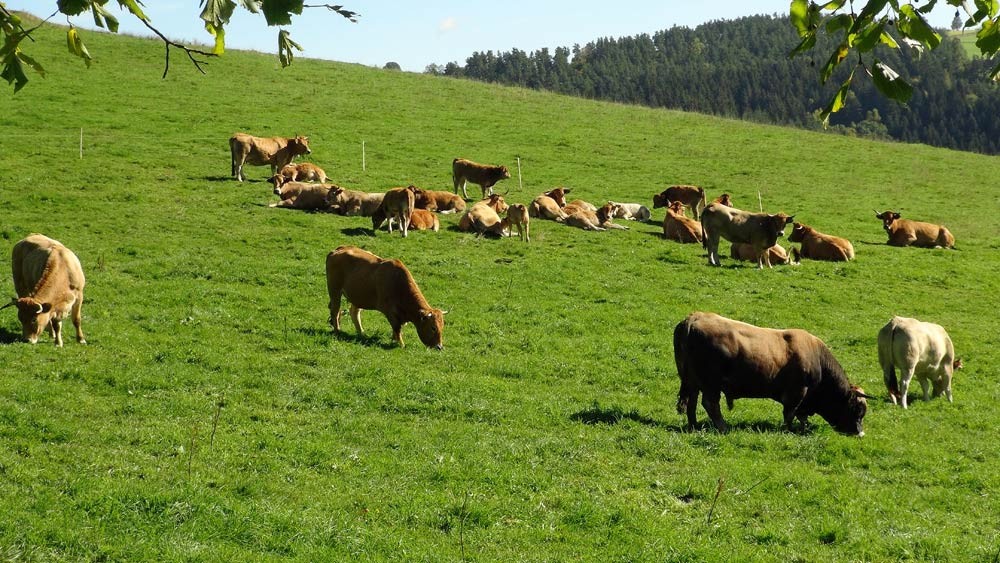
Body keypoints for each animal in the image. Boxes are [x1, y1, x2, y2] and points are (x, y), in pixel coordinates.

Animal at [674, 312, 869, 435]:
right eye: (858, 409)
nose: (859, 433)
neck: (817, 359)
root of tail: (694, 317)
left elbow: (800, 415)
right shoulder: (797, 392)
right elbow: (790, 413)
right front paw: (788, 430)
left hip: (693, 382)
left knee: (691, 403)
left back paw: (693, 426)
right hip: (710, 383)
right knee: (710, 404)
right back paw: (723, 427)